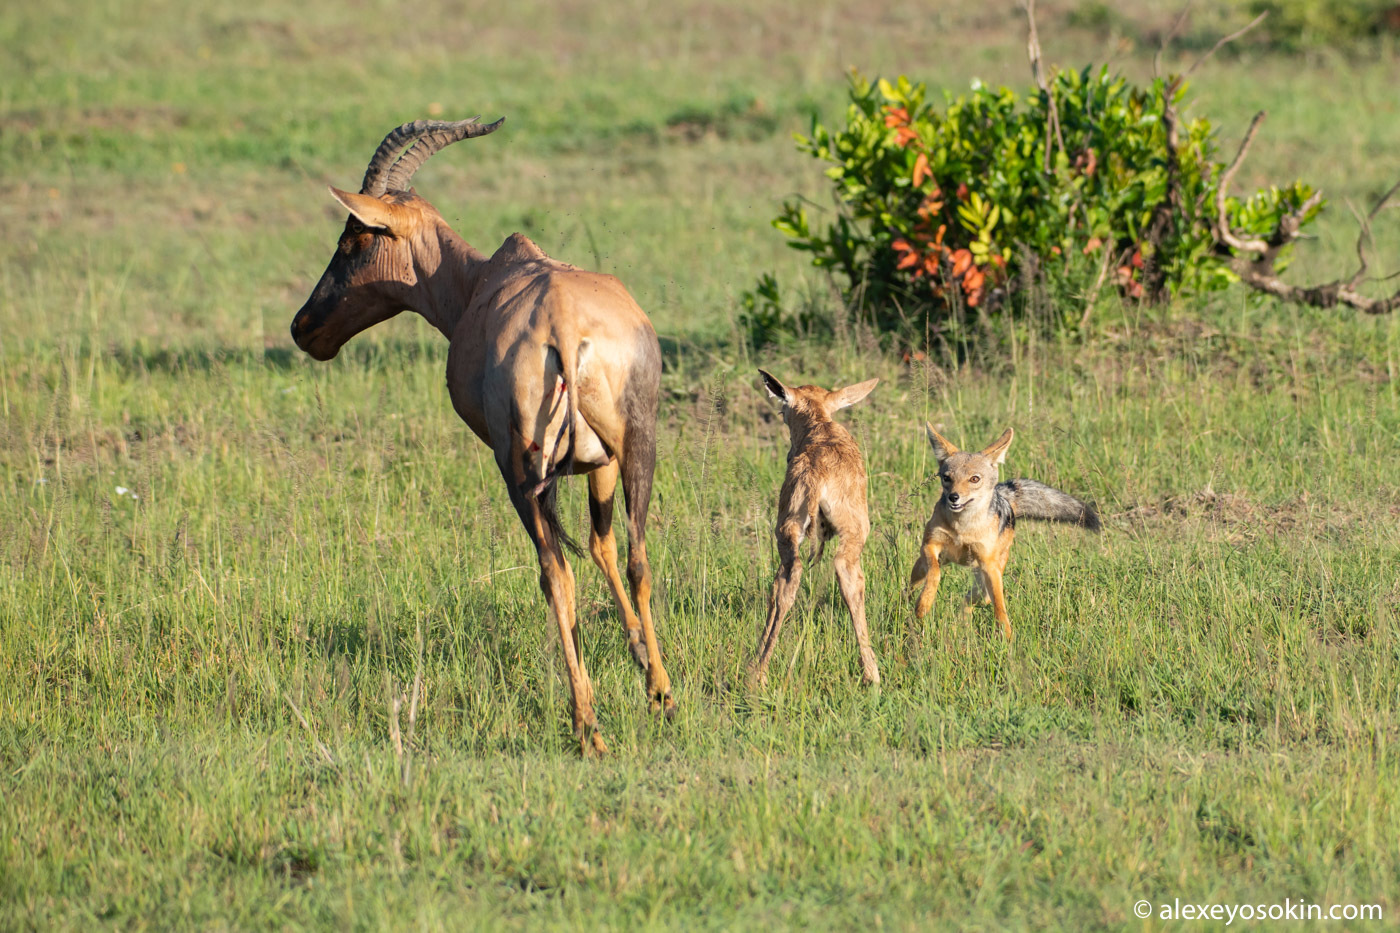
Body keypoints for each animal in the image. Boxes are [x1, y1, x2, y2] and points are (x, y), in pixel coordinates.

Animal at [289, 118, 672, 756]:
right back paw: (662, 694)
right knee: (637, 556)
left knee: (554, 577)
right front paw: (644, 663)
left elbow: (578, 563)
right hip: (637, 443)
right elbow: (607, 548)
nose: (303, 328)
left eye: (355, 238)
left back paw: (586, 726)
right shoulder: (601, 463)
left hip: (519, 469)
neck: (481, 281)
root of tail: (563, 325)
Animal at [750, 369, 879, 683]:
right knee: (847, 576)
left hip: (786, 530)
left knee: (786, 580)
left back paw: (758, 671)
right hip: (852, 532)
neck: (820, 427)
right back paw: (872, 673)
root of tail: (818, 474)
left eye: (783, 410)